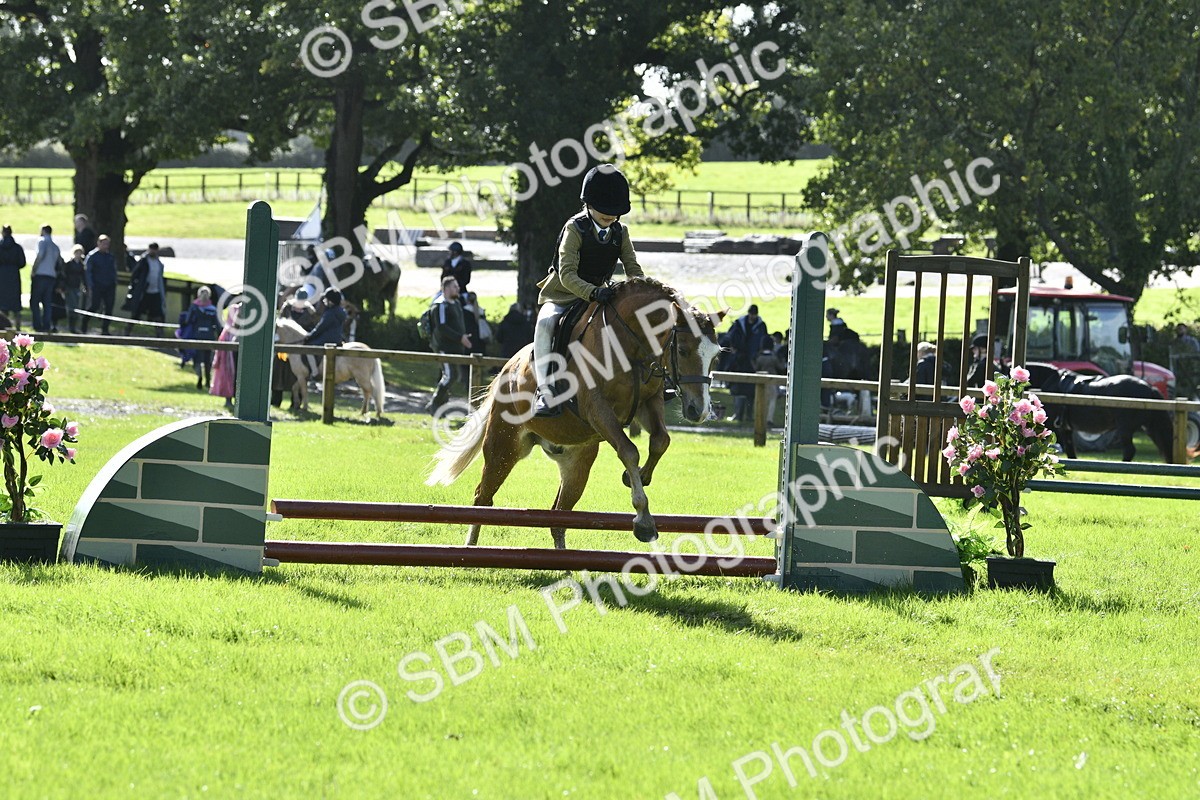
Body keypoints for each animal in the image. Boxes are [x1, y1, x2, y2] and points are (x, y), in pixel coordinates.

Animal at [427, 278, 724, 548]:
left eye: (716, 356)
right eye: (682, 350)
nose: (699, 411)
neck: (630, 343)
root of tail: (507, 368)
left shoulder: (649, 402)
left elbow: (661, 441)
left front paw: (638, 476)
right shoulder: (597, 409)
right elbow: (629, 450)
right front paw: (644, 521)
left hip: (576, 461)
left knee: (559, 515)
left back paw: (564, 564)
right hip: (503, 447)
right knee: (483, 496)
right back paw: (470, 548)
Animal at [1025, 363, 1174, 462]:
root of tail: (1149, 388)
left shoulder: (1056, 427)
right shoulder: (1066, 429)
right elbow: (1070, 450)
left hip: (1125, 429)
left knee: (1129, 450)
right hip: (1151, 428)